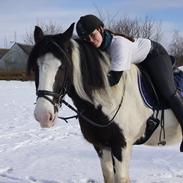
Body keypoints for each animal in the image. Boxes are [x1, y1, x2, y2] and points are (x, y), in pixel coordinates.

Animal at [26, 23, 182, 183]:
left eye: (62, 66)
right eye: (35, 67)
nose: (43, 115)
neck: (109, 100)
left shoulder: (121, 147)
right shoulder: (102, 146)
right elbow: (108, 176)